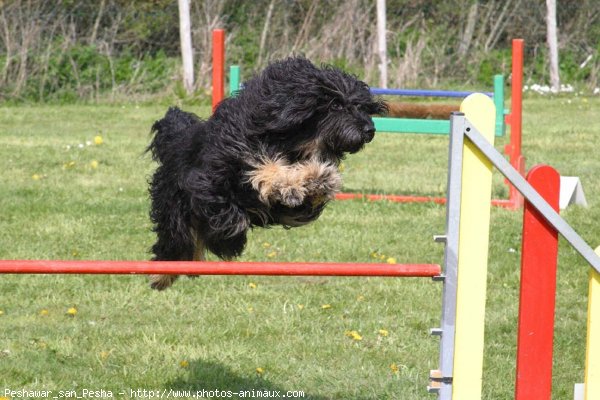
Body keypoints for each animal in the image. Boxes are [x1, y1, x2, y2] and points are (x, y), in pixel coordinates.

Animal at [146, 56, 384, 290]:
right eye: (335, 104)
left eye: (361, 106)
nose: (370, 130)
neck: (291, 142)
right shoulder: (220, 169)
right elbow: (261, 169)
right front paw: (290, 183)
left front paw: (315, 179)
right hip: (174, 209)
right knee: (177, 239)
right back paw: (162, 275)